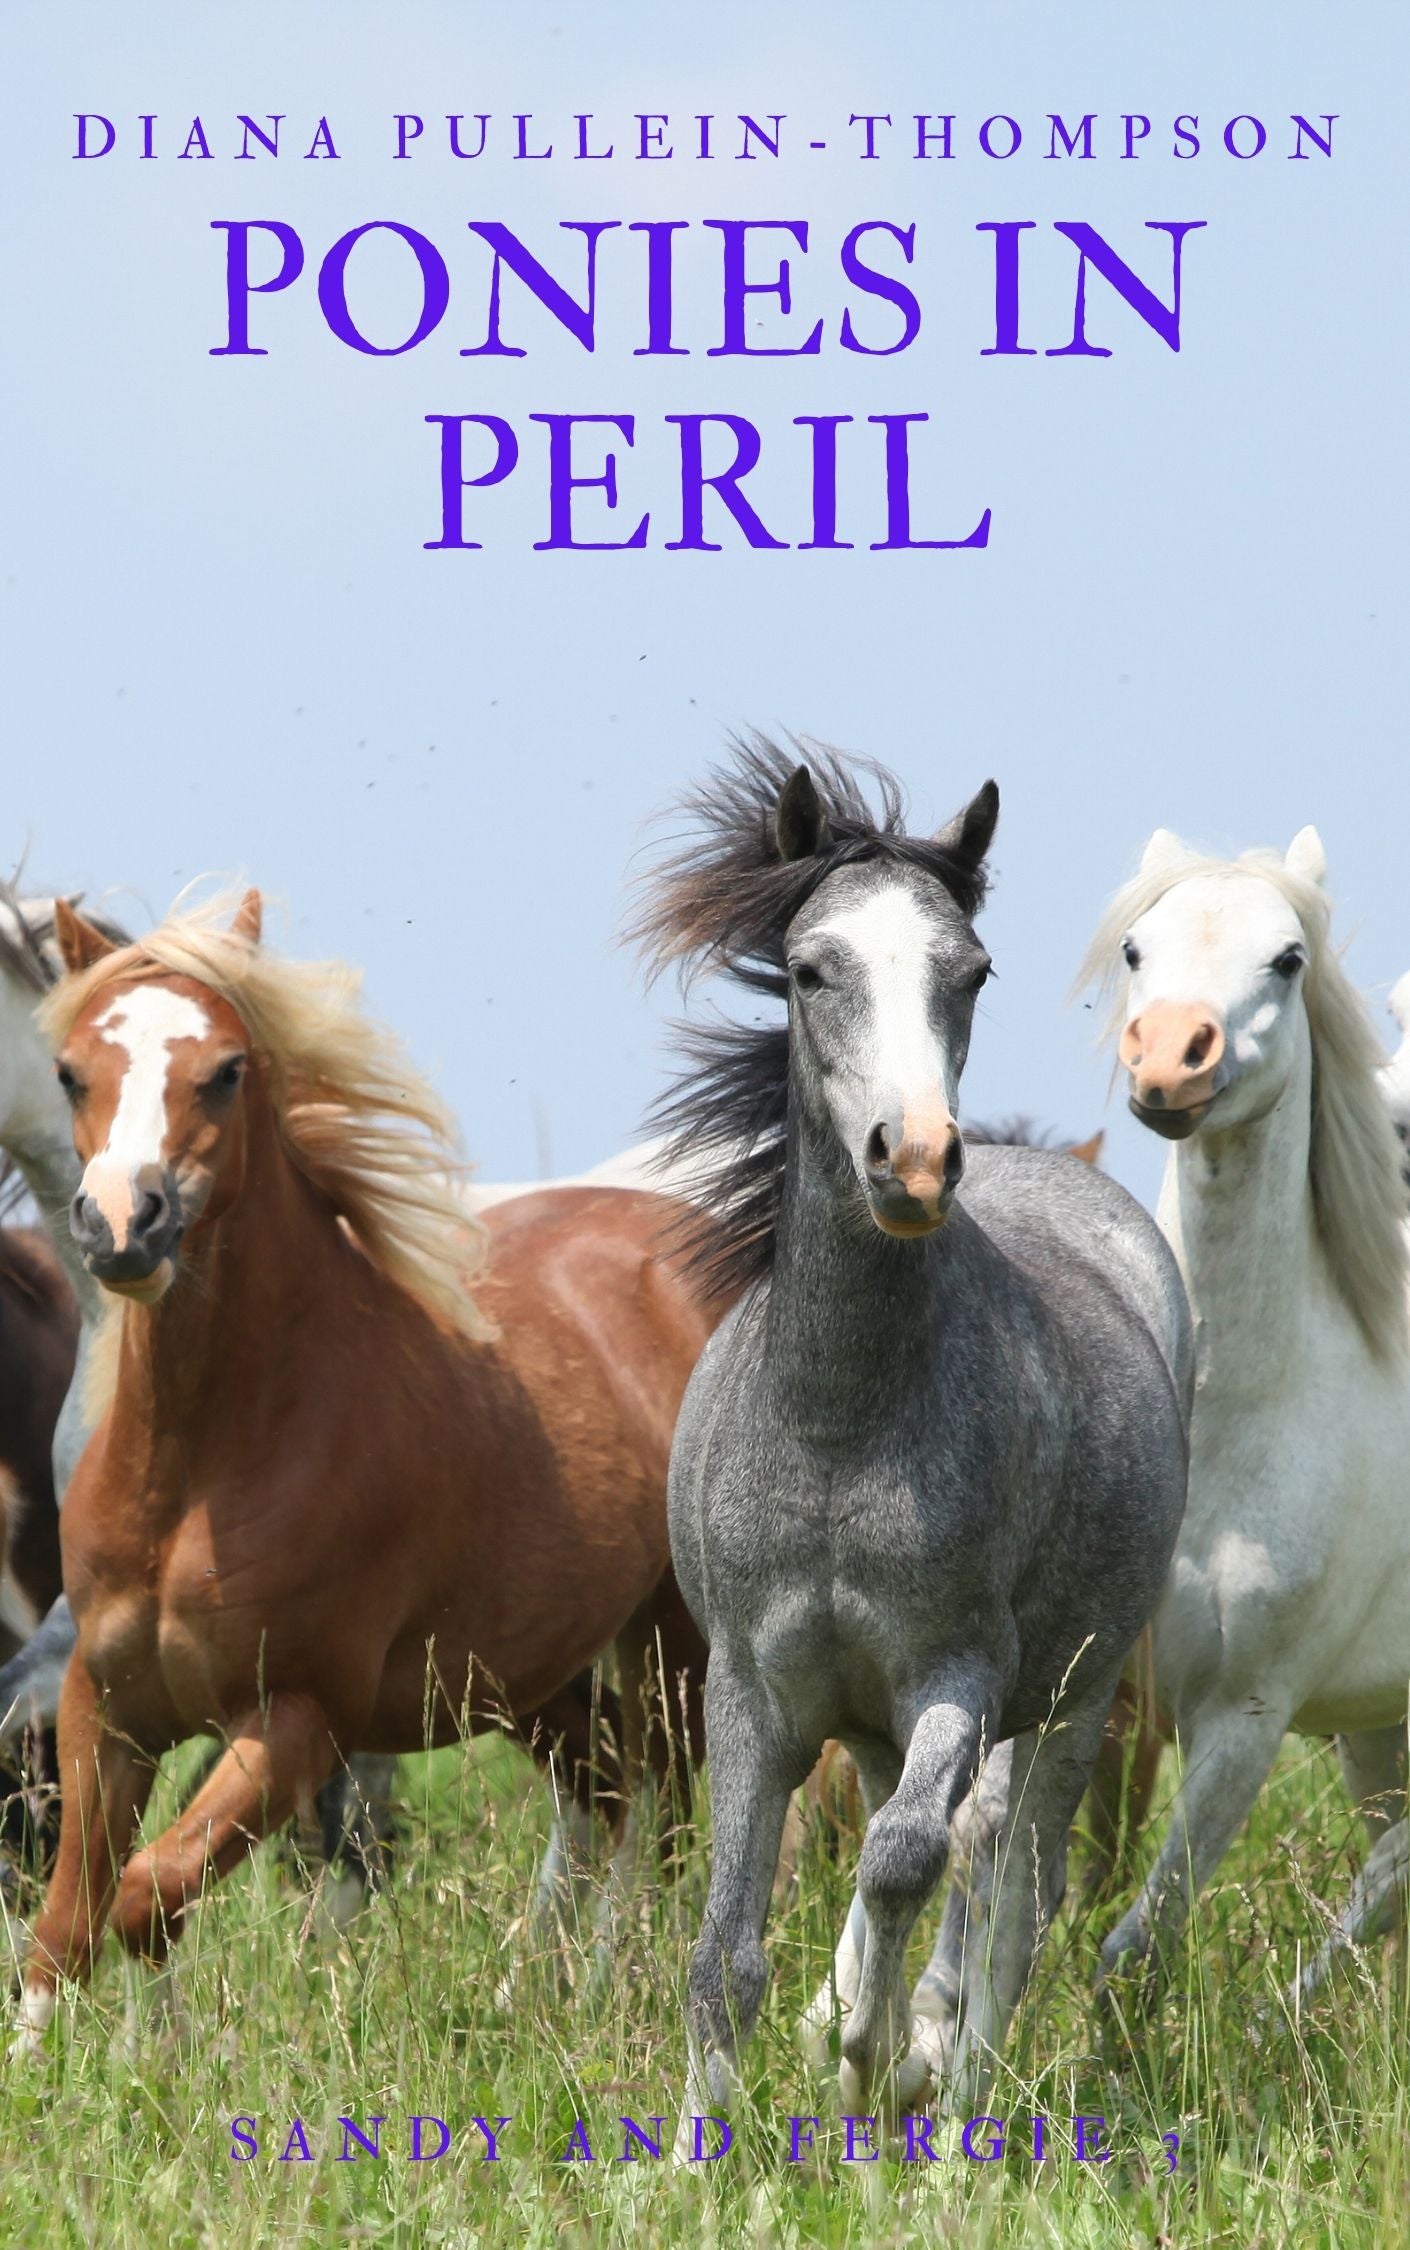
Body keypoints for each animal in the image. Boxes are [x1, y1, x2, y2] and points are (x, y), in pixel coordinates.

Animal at [13, 889, 714, 2054]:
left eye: (227, 1069)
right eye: (71, 1070)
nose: (123, 1227)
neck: (204, 1467)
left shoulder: (301, 1716)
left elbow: (149, 1890)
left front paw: (153, 2057)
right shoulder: (104, 1706)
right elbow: (71, 1917)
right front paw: (81, 2066)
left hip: (672, 1641)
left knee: (667, 1811)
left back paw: (629, 1987)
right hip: (526, 1673)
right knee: (608, 1791)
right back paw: (539, 1992)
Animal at [630, 737, 1192, 2135]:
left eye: (969, 971)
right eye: (812, 966)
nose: (919, 1160)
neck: (839, 1427)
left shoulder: (960, 1673)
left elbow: (902, 1858)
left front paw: (880, 2056)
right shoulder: (753, 1692)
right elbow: (724, 1955)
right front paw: (694, 2148)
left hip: (1073, 1702)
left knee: (1008, 1892)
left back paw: (953, 2097)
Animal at [1082, 827, 1410, 2006]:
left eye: (1288, 959)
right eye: (1137, 948)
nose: (1169, 1058)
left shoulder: (1242, 1721)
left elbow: (1134, 1948)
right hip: (1375, 1729)